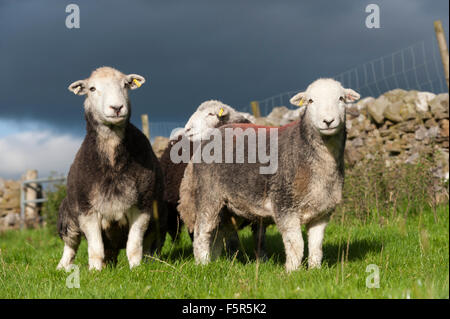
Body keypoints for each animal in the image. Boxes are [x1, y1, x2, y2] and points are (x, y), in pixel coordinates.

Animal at [57, 66, 166, 272]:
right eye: (92, 88)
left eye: (126, 85)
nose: (116, 108)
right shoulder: (87, 210)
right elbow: (95, 248)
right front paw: (95, 271)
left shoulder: (143, 206)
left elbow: (134, 245)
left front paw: (136, 269)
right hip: (68, 217)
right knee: (70, 245)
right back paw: (63, 267)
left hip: (159, 219)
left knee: (147, 246)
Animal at [178, 79, 360, 272]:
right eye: (310, 101)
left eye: (341, 98)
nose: (328, 121)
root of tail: (214, 133)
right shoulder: (285, 205)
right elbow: (296, 243)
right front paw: (292, 271)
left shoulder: (322, 212)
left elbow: (316, 245)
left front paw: (314, 270)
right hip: (209, 194)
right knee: (202, 232)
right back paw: (203, 264)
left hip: (226, 207)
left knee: (217, 232)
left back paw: (214, 261)